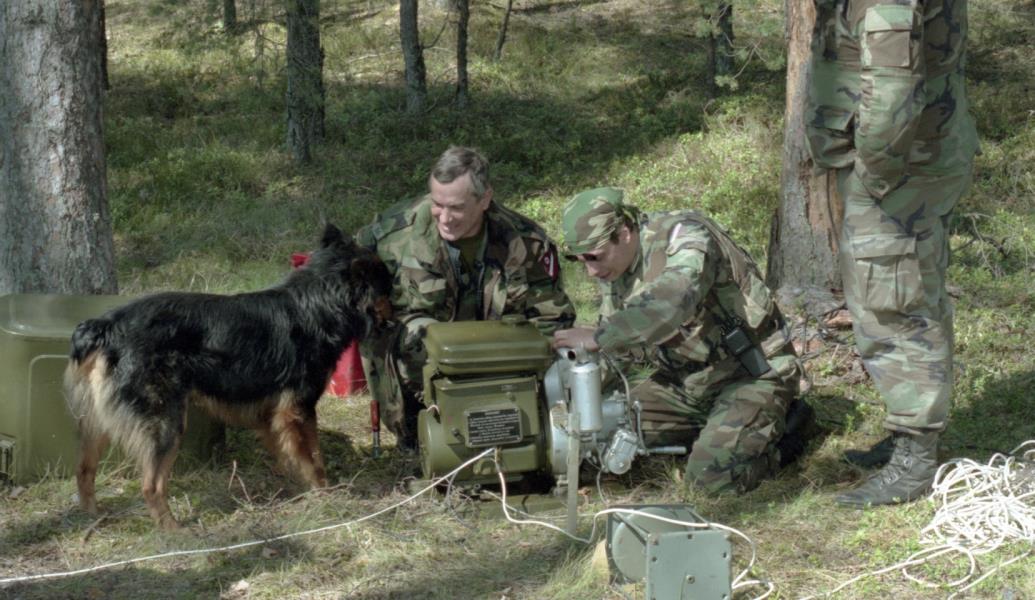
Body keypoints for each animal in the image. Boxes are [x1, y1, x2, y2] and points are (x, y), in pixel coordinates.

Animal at [65, 224, 393, 529]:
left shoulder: (273, 416)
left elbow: (294, 457)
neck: (316, 303)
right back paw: (173, 530)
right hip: (166, 423)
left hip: (98, 422)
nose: (398, 311)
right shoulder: (297, 411)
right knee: (151, 485)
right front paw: (327, 495)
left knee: (83, 470)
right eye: (388, 289)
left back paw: (93, 517)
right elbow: (315, 460)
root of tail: (106, 325)